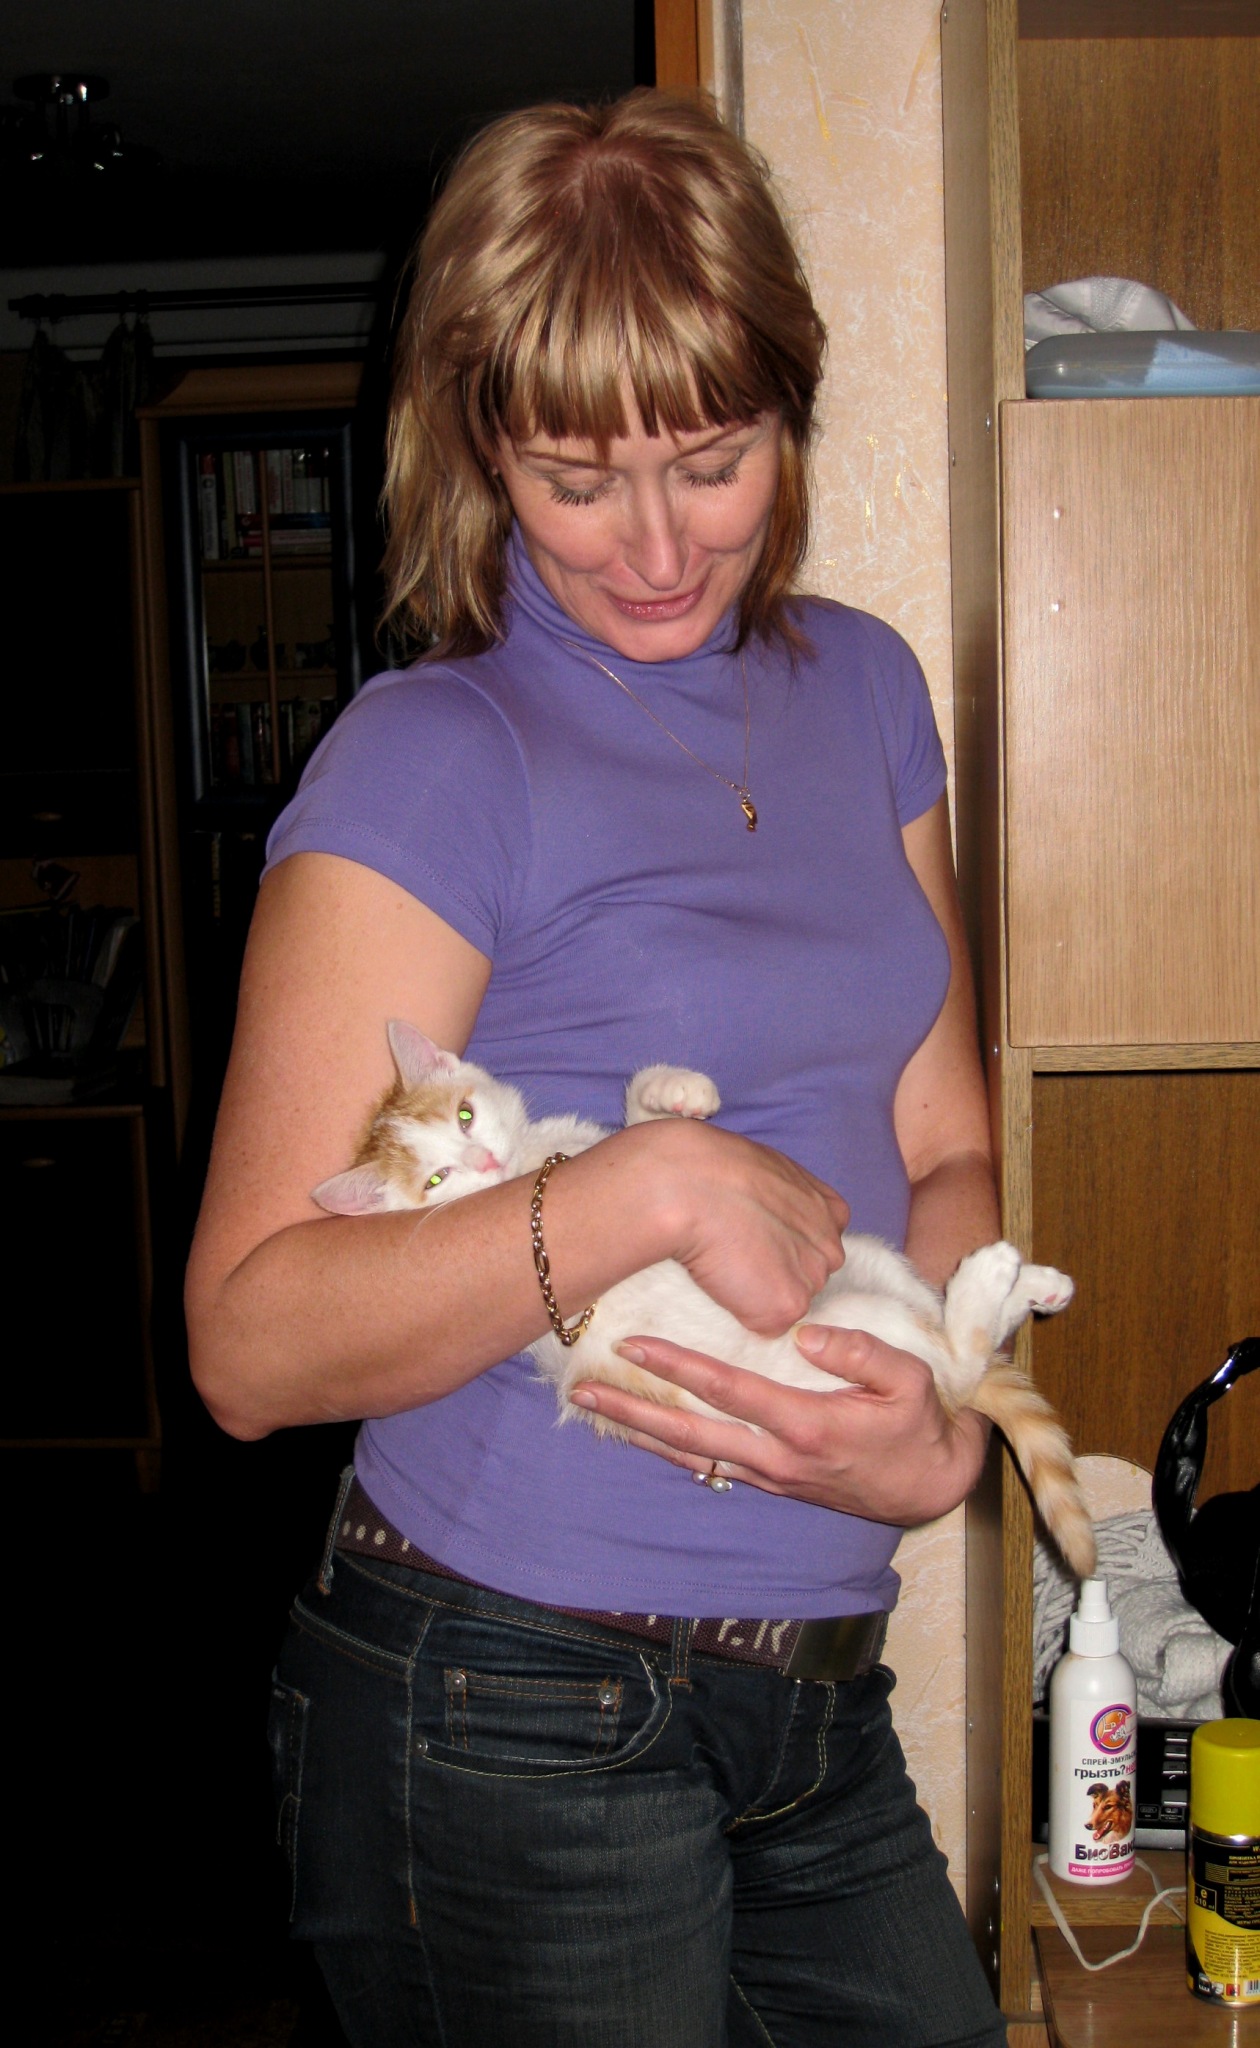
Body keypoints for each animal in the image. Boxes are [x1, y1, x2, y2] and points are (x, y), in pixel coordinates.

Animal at [314, 1021, 1097, 1579]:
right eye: (435, 1183)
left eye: (467, 1116)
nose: (482, 1161)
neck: (527, 1169)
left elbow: (640, 1126)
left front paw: (673, 1093)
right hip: (840, 1340)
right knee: (959, 1366)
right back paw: (989, 1280)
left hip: (866, 1259)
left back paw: (1033, 1283)